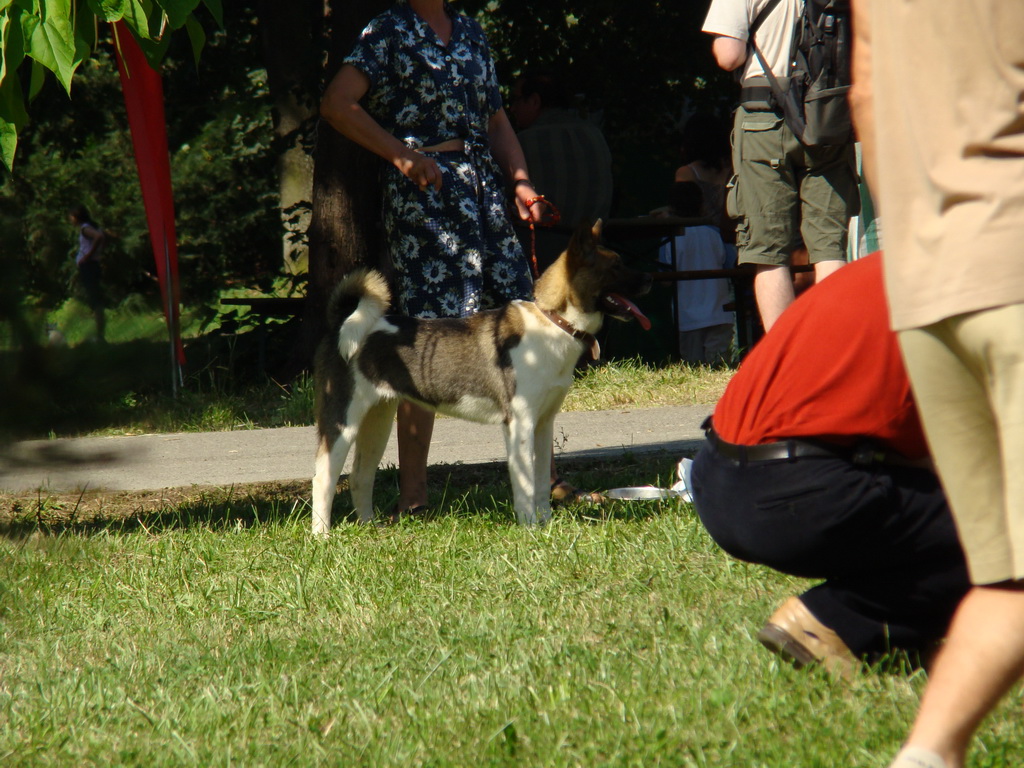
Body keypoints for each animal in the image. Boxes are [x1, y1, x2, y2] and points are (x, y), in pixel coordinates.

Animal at [307, 222, 651, 536]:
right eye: (616, 265)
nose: (651, 280)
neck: (553, 322)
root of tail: (340, 323)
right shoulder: (520, 425)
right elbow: (526, 486)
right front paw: (530, 530)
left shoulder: (543, 424)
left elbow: (541, 483)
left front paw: (546, 525)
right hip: (342, 422)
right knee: (323, 477)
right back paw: (322, 535)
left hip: (376, 423)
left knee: (360, 476)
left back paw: (370, 526)